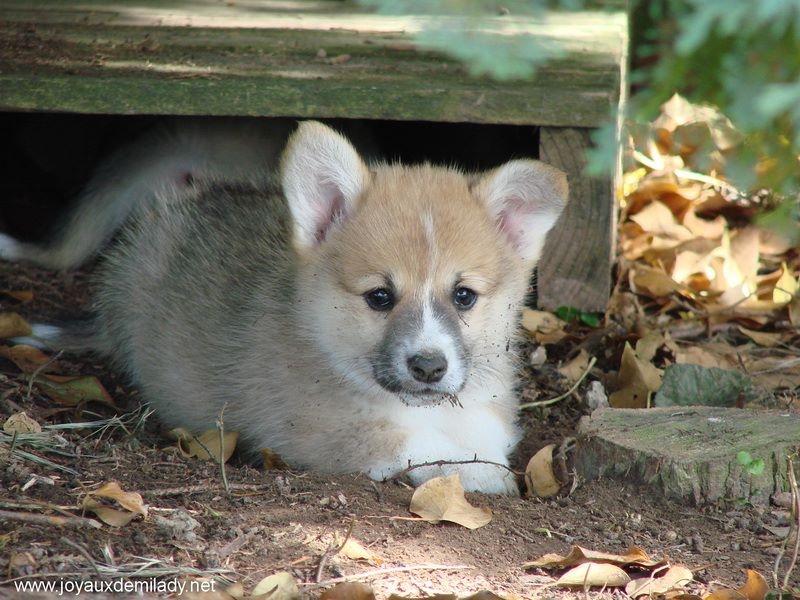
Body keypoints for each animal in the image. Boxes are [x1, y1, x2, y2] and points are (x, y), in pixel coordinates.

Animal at [6, 119, 568, 494]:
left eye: (464, 295)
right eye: (379, 297)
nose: (428, 367)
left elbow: (488, 436)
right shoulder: (318, 430)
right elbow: (422, 447)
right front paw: (481, 474)